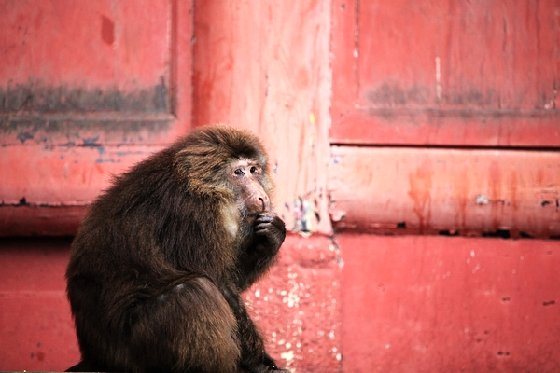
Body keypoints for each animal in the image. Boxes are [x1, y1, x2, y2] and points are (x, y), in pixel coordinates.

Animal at [66, 125, 288, 372]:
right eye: (238, 172)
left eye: (254, 170)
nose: (261, 196)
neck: (204, 187)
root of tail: (94, 357)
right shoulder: (194, 213)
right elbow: (221, 284)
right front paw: (261, 364)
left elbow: (233, 280)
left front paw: (272, 237)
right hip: (129, 355)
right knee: (193, 291)